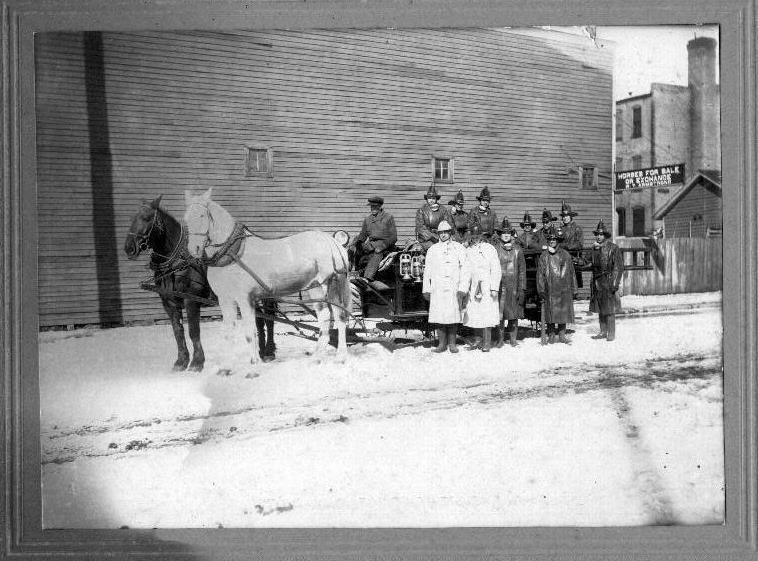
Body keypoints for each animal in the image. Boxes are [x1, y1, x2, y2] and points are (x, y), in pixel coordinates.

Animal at [124, 197, 280, 372]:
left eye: (147, 218)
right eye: (132, 218)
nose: (129, 248)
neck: (177, 261)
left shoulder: (190, 300)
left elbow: (193, 331)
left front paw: (197, 362)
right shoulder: (169, 302)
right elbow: (178, 331)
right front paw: (181, 361)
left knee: (269, 318)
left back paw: (269, 351)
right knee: (259, 319)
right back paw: (261, 351)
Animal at [184, 188, 354, 372]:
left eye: (202, 215)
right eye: (186, 218)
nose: (193, 249)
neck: (231, 254)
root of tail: (333, 241)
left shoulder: (245, 298)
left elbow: (250, 333)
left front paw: (253, 367)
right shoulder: (225, 299)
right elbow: (229, 332)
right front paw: (226, 369)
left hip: (331, 284)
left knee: (340, 316)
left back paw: (341, 357)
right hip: (315, 287)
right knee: (324, 317)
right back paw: (316, 358)